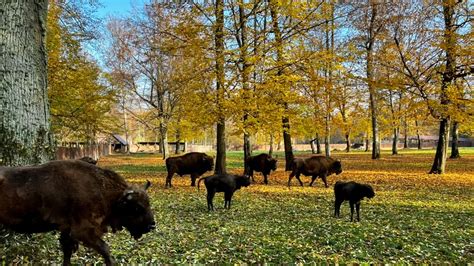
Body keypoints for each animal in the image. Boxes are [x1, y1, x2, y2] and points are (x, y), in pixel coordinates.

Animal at [0, 160, 155, 266]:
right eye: (137, 208)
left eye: (148, 203)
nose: (152, 226)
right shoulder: (83, 231)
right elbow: (105, 249)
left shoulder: (67, 231)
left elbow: (67, 252)